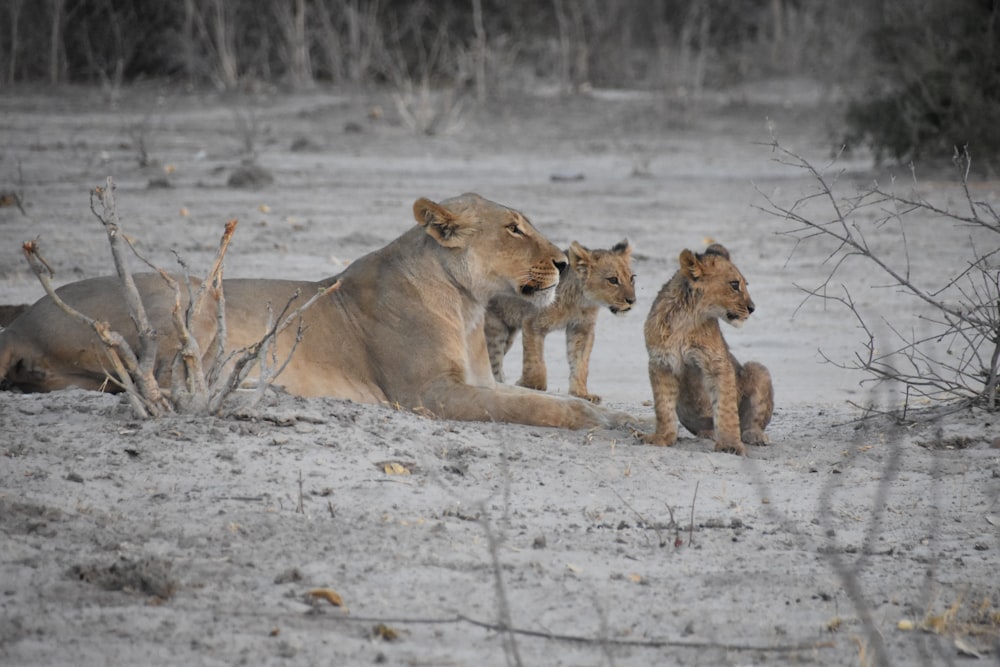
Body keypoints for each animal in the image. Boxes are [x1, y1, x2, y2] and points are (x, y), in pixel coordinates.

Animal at [0, 193, 632, 434]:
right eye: (513, 228)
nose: (563, 263)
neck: (468, 302)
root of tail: (21, 321)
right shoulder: (429, 394)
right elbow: (528, 404)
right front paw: (589, 418)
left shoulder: (475, 378)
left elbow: (531, 394)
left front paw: (608, 413)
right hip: (184, 298)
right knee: (159, 378)